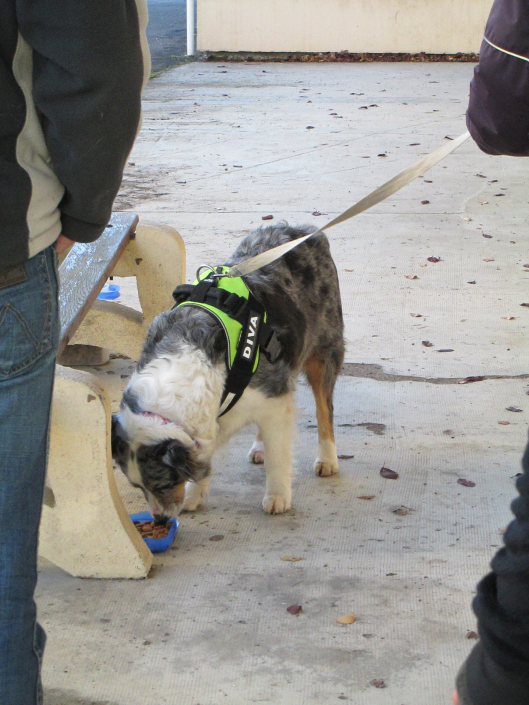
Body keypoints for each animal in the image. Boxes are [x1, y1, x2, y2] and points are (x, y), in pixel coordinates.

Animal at [110, 223, 344, 520]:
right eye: (137, 486)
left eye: (164, 483)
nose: (161, 520)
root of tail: (305, 229)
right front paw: (193, 495)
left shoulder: (274, 394)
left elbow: (279, 455)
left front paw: (278, 496)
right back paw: (260, 447)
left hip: (323, 351)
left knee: (325, 409)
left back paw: (327, 458)